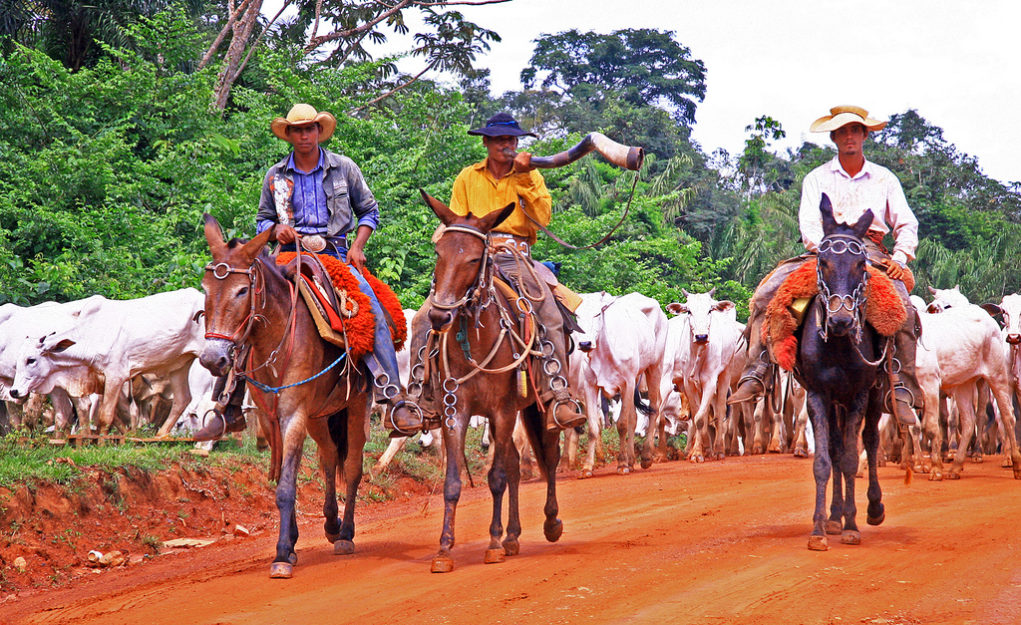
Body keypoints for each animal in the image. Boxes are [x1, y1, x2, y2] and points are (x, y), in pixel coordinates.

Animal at [8, 287, 205, 435]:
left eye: (31, 360)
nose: (14, 391)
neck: (91, 334)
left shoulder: (116, 376)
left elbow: (105, 416)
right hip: (180, 365)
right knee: (182, 399)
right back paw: (160, 435)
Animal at [197, 214, 369, 575]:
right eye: (205, 289)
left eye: (242, 290)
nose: (211, 359)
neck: (275, 338)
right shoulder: (269, 416)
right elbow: (283, 481)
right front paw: (289, 545)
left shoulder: (293, 414)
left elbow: (287, 487)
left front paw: (280, 554)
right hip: (319, 415)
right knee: (329, 457)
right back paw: (331, 524)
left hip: (356, 406)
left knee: (352, 466)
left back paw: (345, 533)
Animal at [408, 193, 567, 571]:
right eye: (440, 252)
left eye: (474, 257)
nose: (439, 315)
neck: (476, 341)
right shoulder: (456, 411)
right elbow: (454, 482)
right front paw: (445, 549)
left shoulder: (503, 410)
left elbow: (495, 478)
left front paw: (493, 543)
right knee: (514, 464)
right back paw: (512, 536)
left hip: (539, 408)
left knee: (549, 457)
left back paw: (549, 523)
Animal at [575, 292, 669, 473]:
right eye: (576, 316)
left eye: (597, 314)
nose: (584, 343)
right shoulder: (590, 386)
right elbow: (593, 428)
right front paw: (587, 467)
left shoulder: (628, 383)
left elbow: (622, 424)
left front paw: (622, 464)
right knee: (634, 417)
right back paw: (632, 460)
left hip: (655, 367)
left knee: (654, 407)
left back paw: (645, 457)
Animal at [665, 290, 747, 461]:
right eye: (688, 311)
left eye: (710, 310)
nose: (701, 336)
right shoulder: (688, 384)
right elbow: (698, 418)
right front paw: (699, 451)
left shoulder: (710, 382)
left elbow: (702, 417)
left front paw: (700, 451)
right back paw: (709, 449)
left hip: (727, 375)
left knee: (722, 412)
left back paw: (721, 450)